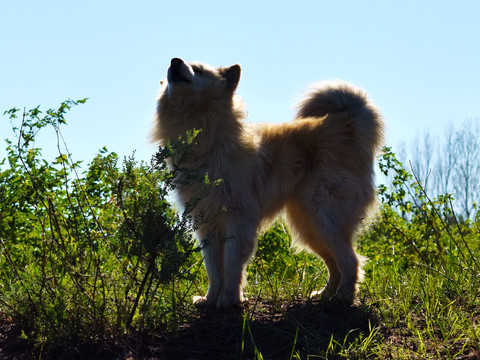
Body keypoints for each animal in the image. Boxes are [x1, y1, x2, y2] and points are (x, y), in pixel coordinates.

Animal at [152, 57, 384, 308]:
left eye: (199, 69)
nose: (174, 61)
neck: (206, 138)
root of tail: (346, 124)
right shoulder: (207, 224)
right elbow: (213, 268)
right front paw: (210, 299)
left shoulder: (239, 220)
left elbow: (232, 265)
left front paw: (229, 299)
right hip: (309, 226)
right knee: (336, 264)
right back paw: (324, 295)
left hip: (323, 217)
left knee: (351, 261)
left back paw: (343, 298)